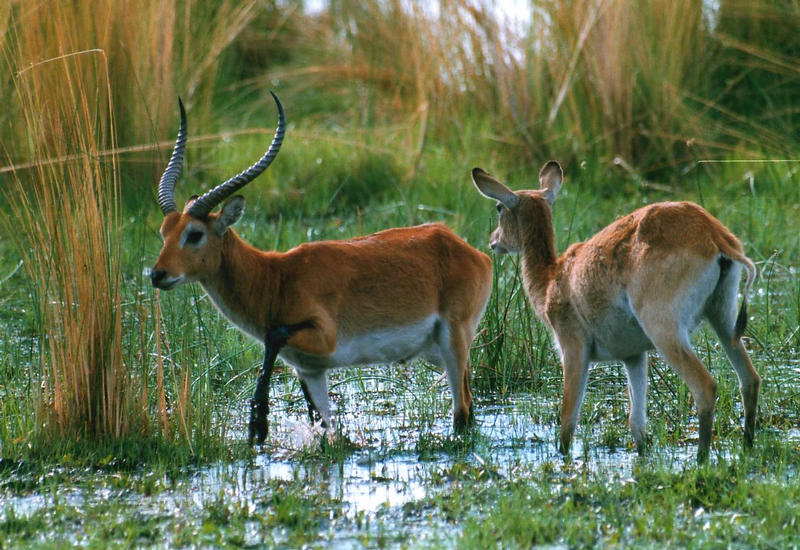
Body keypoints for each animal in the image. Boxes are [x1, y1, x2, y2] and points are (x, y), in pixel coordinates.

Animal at [147, 91, 490, 444]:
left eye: (194, 234)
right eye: (164, 232)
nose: (158, 274)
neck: (275, 278)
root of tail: (466, 248)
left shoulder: (322, 337)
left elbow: (273, 336)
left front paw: (259, 422)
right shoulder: (310, 368)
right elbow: (324, 425)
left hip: (453, 341)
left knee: (462, 412)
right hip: (439, 351)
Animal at [476, 162, 764, 464]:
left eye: (498, 207)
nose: (493, 241)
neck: (551, 279)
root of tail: (713, 234)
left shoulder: (573, 349)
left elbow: (568, 420)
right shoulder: (633, 355)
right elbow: (637, 424)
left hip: (666, 331)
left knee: (706, 386)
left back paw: (701, 460)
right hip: (722, 316)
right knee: (750, 379)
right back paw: (746, 448)